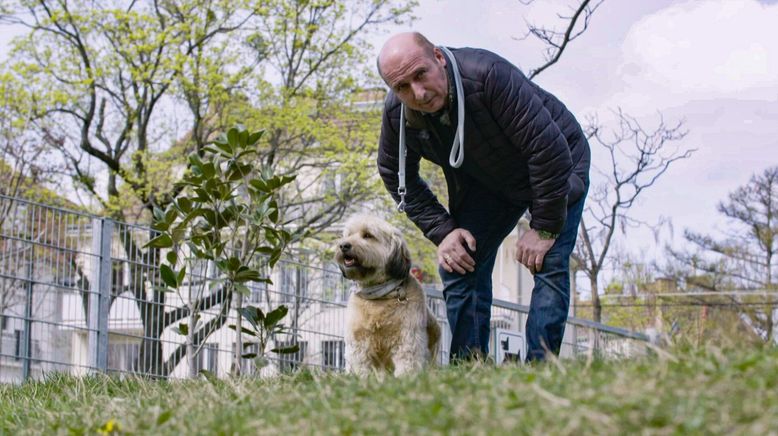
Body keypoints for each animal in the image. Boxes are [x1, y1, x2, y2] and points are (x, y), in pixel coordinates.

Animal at [334, 214, 440, 374]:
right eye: (348, 235)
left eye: (368, 235)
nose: (343, 245)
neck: (379, 296)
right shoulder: (358, 344)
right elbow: (360, 369)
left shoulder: (408, 340)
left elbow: (407, 366)